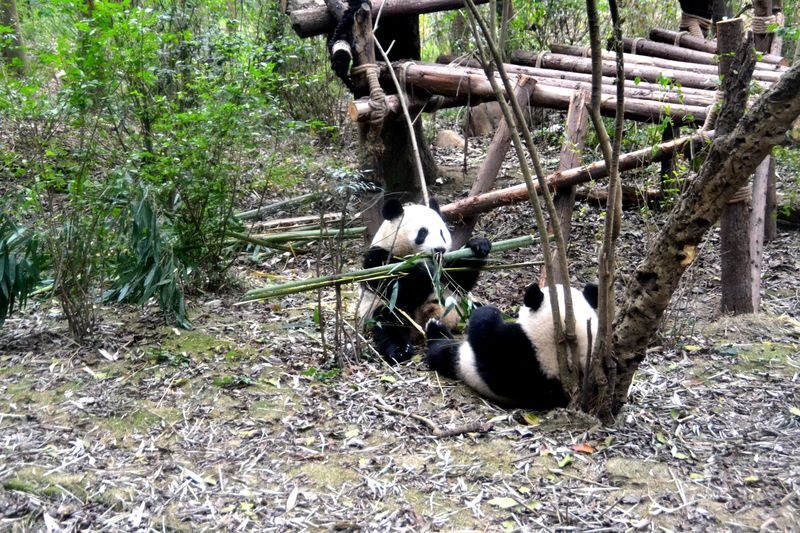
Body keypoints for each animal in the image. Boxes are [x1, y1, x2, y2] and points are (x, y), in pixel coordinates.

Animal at [359, 197, 492, 364]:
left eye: (442, 233)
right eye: (423, 232)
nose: (440, 249)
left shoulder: (445, 264)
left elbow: (458, 282)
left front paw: (478, 245)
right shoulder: (378, 261)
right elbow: (393, 288)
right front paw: (424, 270)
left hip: (463, 305)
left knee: (482, 312)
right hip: (379, 311)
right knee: (389, 322)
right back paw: (400, 350)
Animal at [425, 282, 599, 410]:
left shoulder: (518, 351)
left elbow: (489, 344)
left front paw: (485, 312)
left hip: (461, 361)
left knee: (443, 353)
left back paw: (435, 329)